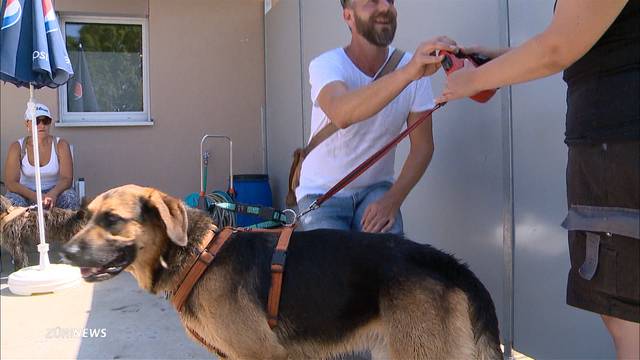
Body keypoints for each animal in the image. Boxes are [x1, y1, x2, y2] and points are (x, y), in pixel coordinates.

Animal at [61, 186, 500, 360]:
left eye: (113, 220)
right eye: (85, 216)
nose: (64, 252)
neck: (200, 254)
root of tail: (450, 263)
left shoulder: (261, 354)